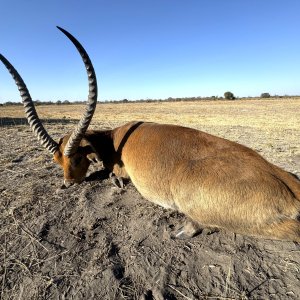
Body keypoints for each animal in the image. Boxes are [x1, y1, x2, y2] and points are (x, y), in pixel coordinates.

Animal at [0, 26, 300, 241]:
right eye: (56, 160)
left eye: (75, 158)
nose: (67, 183)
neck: (114, 139)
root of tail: (290, 188)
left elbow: (112, 174)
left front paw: (115, 181)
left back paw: (182, 230)